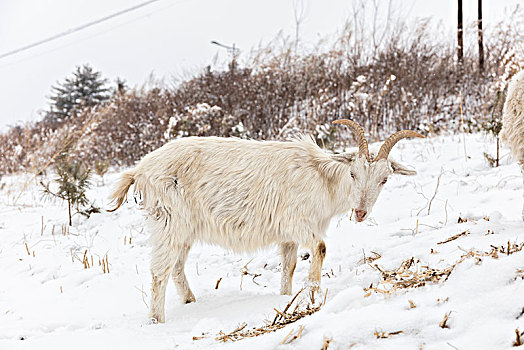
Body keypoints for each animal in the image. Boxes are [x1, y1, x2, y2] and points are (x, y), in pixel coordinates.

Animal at [108, 120, 424, 322]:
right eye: (353, 174)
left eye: (384, 179)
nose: (359, 212)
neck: (321, 178)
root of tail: (140, 170)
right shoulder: (299, 223)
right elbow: (320, 248)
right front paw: (312, 295)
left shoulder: (287, 235)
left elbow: (288, 266)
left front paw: (286, 297)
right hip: (170, 221)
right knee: (159, 270)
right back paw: (156, 319)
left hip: (185, 229)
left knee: (175, 266)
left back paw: (190, 302)